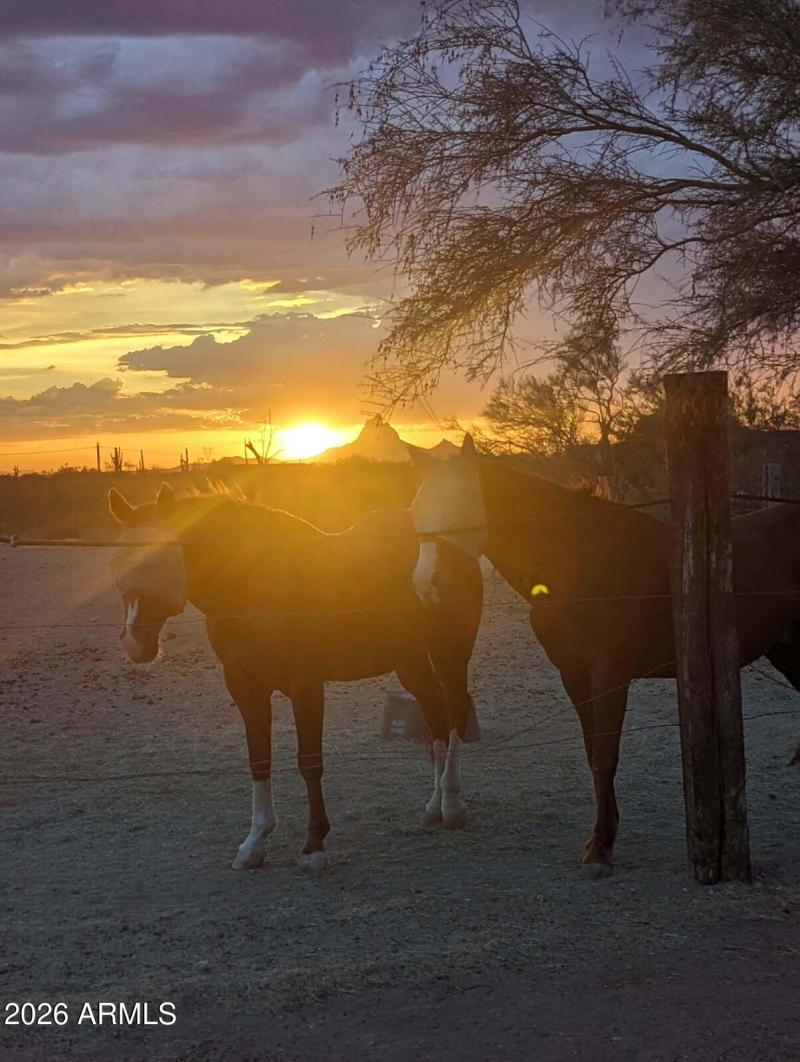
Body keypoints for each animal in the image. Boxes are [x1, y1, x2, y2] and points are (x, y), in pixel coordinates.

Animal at [108, 484, 482, 870]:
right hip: (410, 662)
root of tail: (448, 546)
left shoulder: (306, 687)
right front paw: (254, 843)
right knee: (436, 719)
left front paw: (314, 846)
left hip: (450, 656)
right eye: (118, 563)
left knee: (454, 713)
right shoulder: (245, 688)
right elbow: (258, 759)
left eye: (158, 559)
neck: (256, 590)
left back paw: (452, 806)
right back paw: (435, 807)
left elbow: (309, 762)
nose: (135, 643)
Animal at [412, 435, 800, 877]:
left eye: (459, 505)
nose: (425, 584)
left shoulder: (609, 676)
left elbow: (604, 756)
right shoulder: (575, 676)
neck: (576, 560)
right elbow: (592, 752)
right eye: (417, 512)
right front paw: (602, 837)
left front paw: (600, 850)